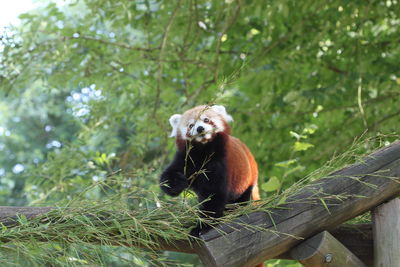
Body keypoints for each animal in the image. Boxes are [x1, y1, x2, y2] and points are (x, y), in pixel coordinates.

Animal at [159, 104, 260, 237]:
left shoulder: (219, 162)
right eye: (191, 125)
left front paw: (203, 226)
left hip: (246, 180)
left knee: (240, 198)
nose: (200, 128)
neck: (203, 150)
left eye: (206, 120)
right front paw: (177, 182)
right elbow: (168, 177)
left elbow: (213, 194)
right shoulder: (186, 157)